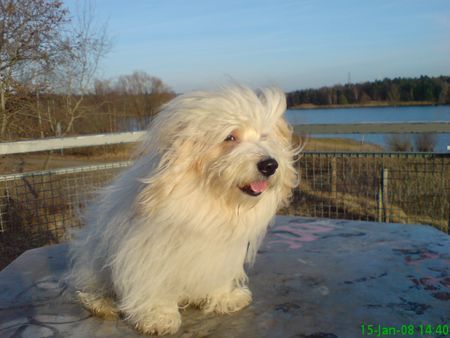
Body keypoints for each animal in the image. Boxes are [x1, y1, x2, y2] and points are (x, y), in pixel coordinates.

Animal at [67, 86, 298, 334]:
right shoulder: (145, 249)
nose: (270, 165)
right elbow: (150, 283)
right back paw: (101, 303)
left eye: (264, 136)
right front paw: (156, 314)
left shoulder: (218, 252)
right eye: (230, 137)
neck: (209, 196)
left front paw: (224, 297)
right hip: (93, 260)